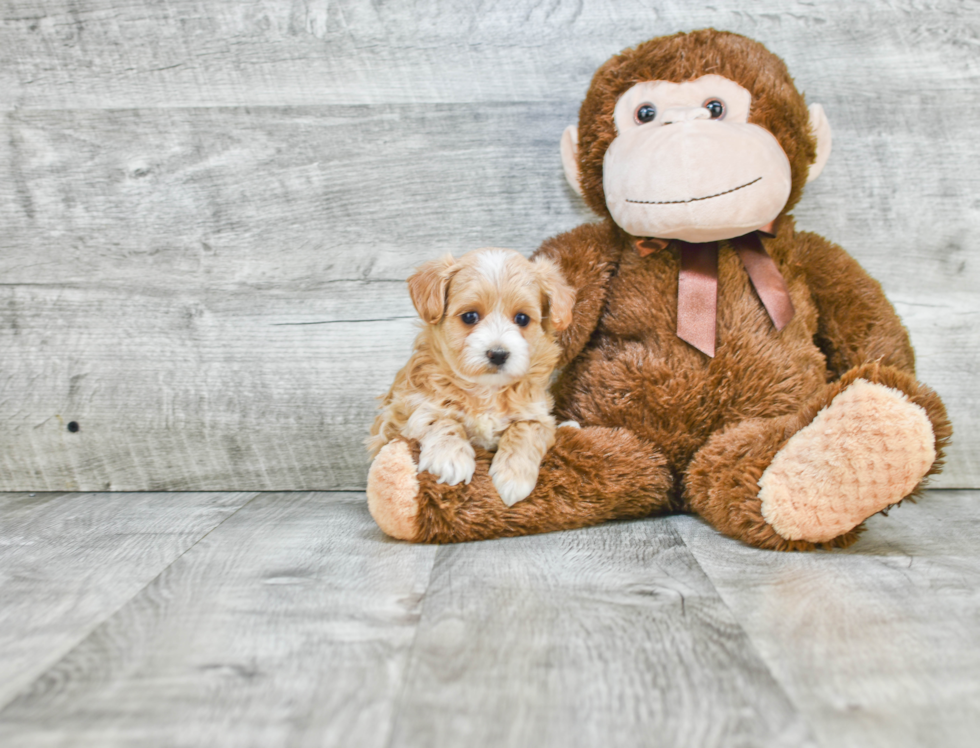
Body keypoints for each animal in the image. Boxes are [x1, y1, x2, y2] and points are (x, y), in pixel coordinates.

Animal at [368, 248, 576, 506]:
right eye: (469, 317)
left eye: (522, 319)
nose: (498, 354)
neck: (486, 390)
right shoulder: (406, 409)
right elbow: (440, 419)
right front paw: (450, 458)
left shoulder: (537, 414)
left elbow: (525, 432)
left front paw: (513, 478)